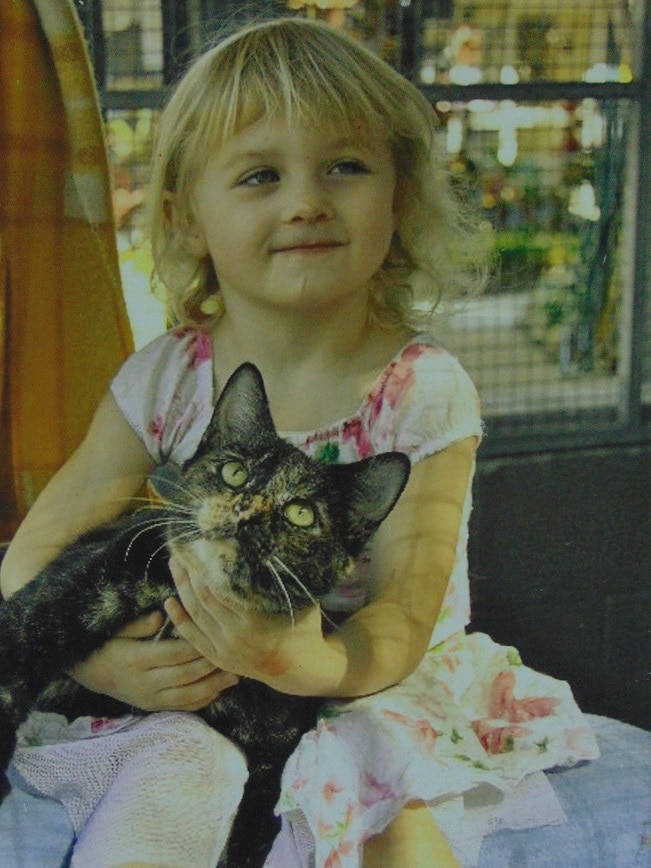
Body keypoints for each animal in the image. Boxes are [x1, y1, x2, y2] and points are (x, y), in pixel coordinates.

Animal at [0, 362, 408, 868]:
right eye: (234, 473)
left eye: (301, 513)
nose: (246, 513)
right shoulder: (62, 597)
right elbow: (15, 661)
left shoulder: (275, 748)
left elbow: (254, 831)